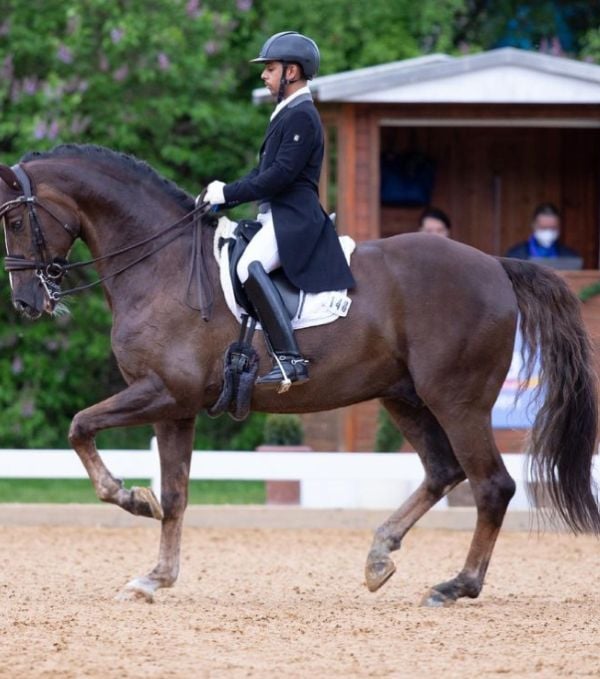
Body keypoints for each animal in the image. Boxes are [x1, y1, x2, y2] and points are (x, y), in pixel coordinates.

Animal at [1, 144, 599, 605]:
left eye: (13, 219)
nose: (27, 301)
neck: (159, 264)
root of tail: (494, 264)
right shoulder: (176, 407)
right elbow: (175, 494)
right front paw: (154, 577)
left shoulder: (161, 392)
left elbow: (80, 427)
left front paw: (130, 498)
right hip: (404, 396)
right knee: (443, 470)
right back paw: (380, 556)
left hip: (459, 400)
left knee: (492, 484)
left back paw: (457, 585)